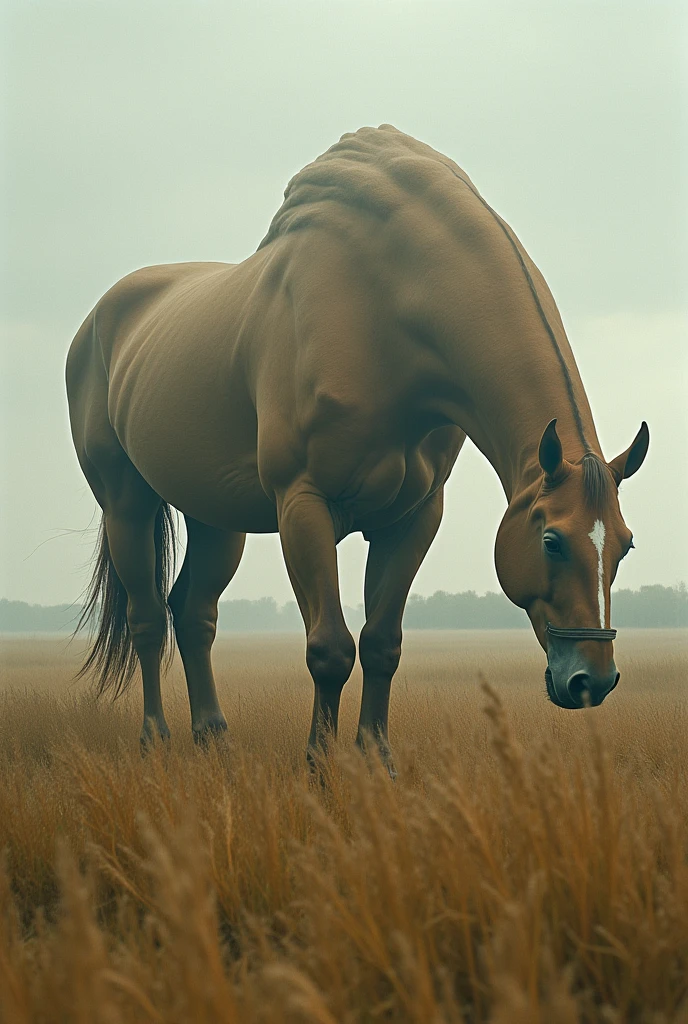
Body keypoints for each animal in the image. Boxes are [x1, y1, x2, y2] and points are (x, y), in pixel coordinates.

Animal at [67, 125, 647, 770]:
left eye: (624, 546)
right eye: (552, 541)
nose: (592, 680)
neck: (384, 301)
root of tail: (98, 322)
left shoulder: (411, 518)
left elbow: (380, 644)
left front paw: (376, 760)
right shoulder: (304, 505)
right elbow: (330, 649)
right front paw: (319, 767)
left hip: (217, 519)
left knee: (193, 614)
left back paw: (213, 736)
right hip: (126, 506)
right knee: (146, 618)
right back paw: (156, 739)